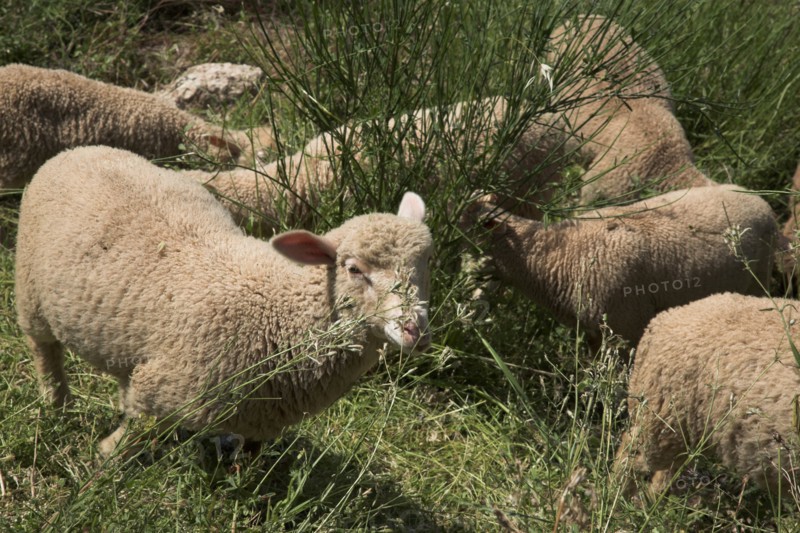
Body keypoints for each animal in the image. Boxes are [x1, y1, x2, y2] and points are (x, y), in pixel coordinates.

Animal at [15, 145, 433, 456]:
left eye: (426, 262)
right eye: (354, 269)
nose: (415, 331)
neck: (282, 310)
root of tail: (78, 150)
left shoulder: (256, 419)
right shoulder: (160, 388)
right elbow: (130, 435)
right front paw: (102, 460)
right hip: (30, 292)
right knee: (44, 349)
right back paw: (58, 406)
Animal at [614, 292, 800, 499]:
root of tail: (665, 318)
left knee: (666, 472)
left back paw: (651, 500)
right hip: (664, 419)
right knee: (631, 453)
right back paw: (617, 498)